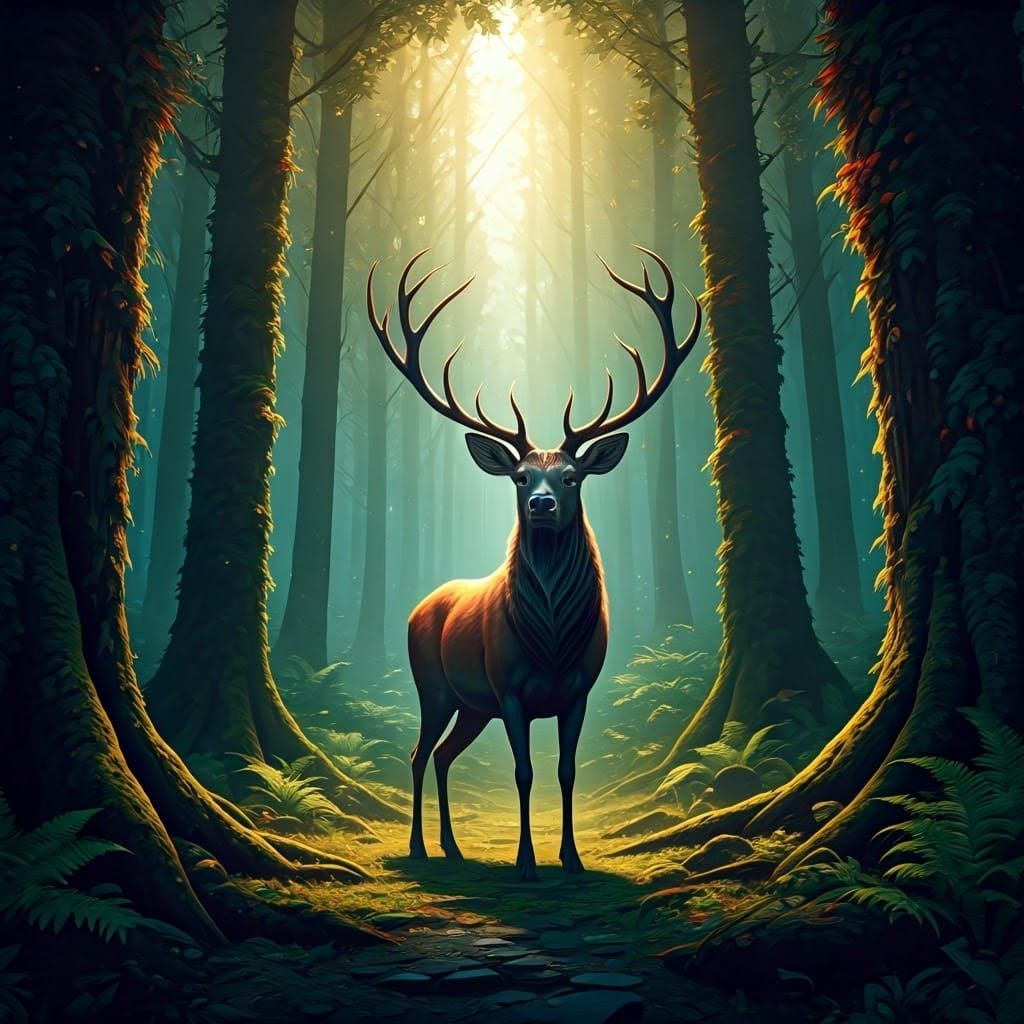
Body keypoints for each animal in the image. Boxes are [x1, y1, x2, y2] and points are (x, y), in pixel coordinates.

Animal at [366, 246, 701, 880]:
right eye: (521, 477)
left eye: (572, 476)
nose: (541, 504)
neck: (549, 642)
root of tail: (419, 606)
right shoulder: (511, 690)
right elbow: (524, 774)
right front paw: (525, 861)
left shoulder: (579, 691)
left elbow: (566, 773)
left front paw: (570, 858)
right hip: (435, 687)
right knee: (420, 752)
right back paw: (420, 845)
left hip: (471, 706)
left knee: (444, 756)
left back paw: (452, 846)